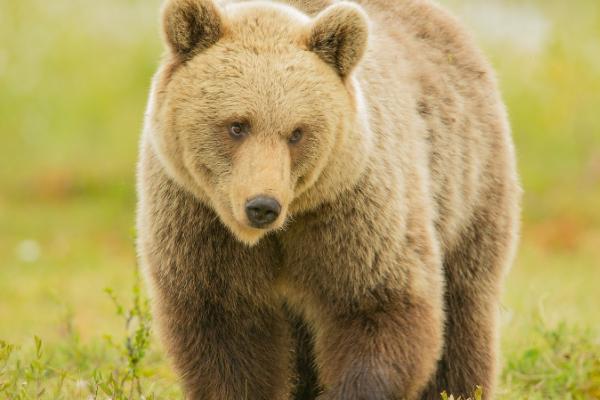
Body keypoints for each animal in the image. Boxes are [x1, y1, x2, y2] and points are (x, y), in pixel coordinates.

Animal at [136, 0, 520, 398]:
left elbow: (378, 307)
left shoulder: (351, 213)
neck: (283, 228)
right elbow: (227, 335)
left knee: (463, 313)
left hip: (468, 187)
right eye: (236, 125)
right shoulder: (200, 224)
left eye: (297, 132)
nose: (262, 206)